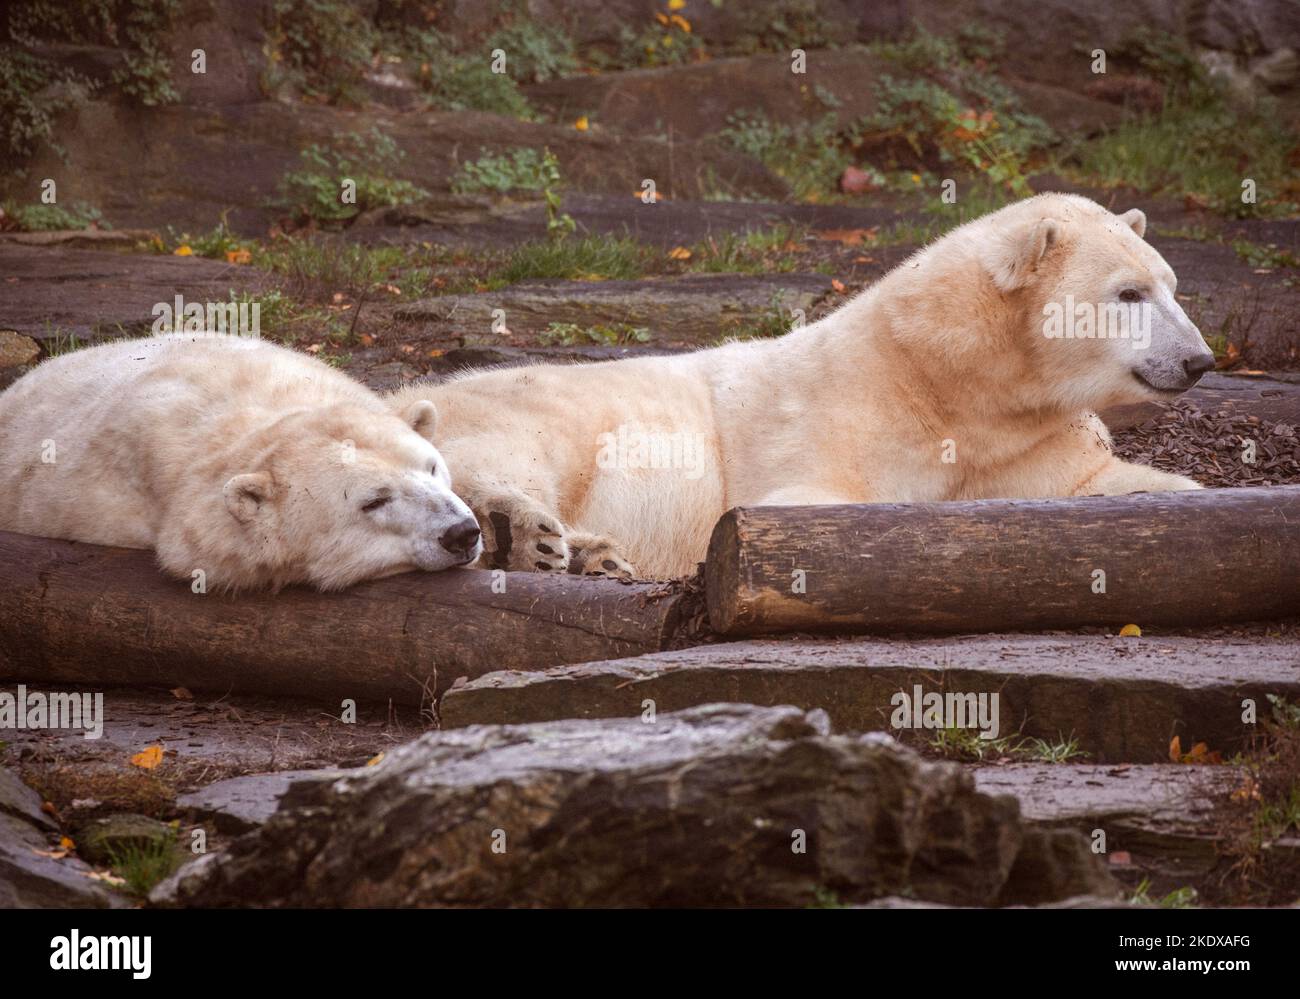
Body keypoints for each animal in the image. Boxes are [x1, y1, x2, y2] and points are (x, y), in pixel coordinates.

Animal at [386, 193, 1215, 581]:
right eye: (1129, 292)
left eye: (1172, 285)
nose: (1200, 360)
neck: (945, 378)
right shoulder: (839, 414)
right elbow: (803, 502)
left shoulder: (1029, 438)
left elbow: (1107, 484)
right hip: (540, 403)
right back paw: (523, 532)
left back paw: (593, 554)